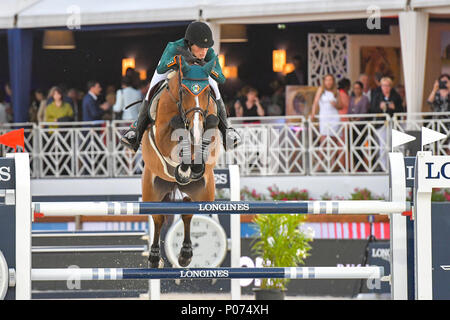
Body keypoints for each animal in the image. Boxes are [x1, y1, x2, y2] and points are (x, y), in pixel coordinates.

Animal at [142, 55, 221, 268]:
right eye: (184, 91)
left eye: (207, 92)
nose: (195, 128)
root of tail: (173, 184)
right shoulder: (161, 136)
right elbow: (176, 135)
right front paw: (185, 168)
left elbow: (209, 128)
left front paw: (195, 165)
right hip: (152, 191)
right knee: (158, 218)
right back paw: (154, 258)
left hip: (204, 193)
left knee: (187, 213)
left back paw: (185, 255)